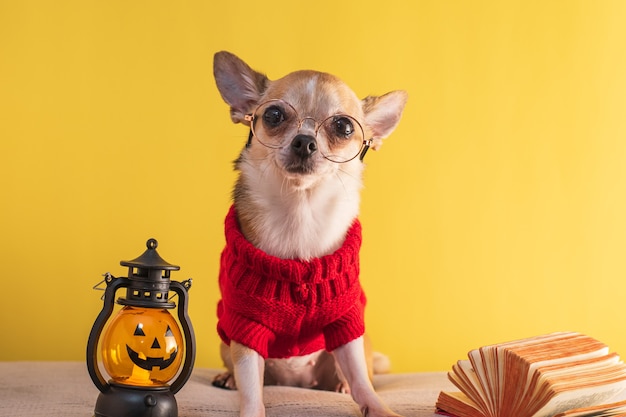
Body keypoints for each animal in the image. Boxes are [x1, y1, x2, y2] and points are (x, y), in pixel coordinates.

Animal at [211, 52, 404, 416]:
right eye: (273, 115)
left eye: (343, 127)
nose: (304, 141)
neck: (300, 211)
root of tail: (298, 383)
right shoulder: (245, 325)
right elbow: (251, 387)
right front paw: (250, 406)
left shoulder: (346, 322)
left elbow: (362, 379)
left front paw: (378, 407)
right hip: (226, 340)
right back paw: (227, 378)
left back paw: (341, 385)